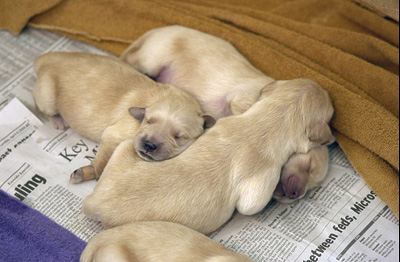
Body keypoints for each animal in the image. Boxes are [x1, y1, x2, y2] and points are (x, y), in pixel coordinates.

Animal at [33, 52, 216, 183]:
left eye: (179, 137)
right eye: (149, 120)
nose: (149, 145)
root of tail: (45, 58)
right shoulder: (113, 135)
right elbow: (102, 162)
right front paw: (88, 172)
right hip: (47, 94)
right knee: (41, 106)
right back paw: (58, 120)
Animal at [81, 79, 334, 234]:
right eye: (309, 167)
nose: (296, 195)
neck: (274, 118)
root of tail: (94, 202)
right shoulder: (258, 189)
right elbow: (250, 205)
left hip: (125, 148)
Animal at [120, 25, 332, 203]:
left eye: (314, 187)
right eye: (309, 166)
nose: (297, 195)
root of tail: (156, 31)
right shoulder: (241, 98)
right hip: (154, 58)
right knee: (130, 60)